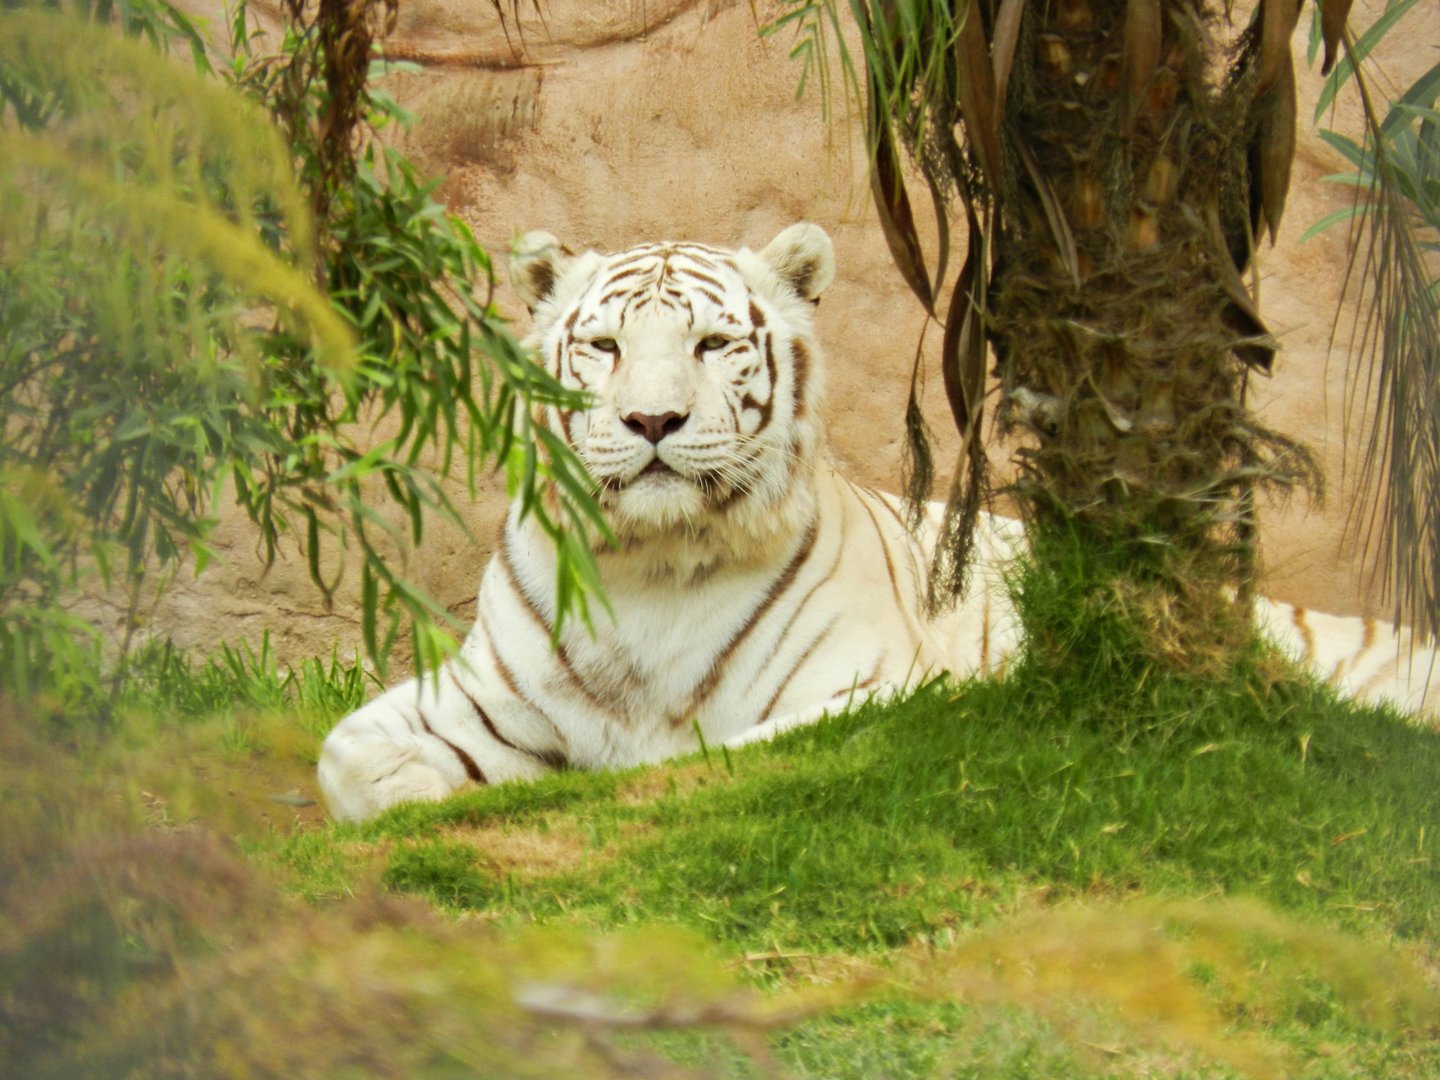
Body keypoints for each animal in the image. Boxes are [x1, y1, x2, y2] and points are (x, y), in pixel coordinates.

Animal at [317, 223, 1437, 823]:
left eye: (713, 344)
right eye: (603, 346)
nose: (653, 421)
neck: (650, 565)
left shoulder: (864, 692)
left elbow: (707, 756)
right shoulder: (481, 694)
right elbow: (346, 756)